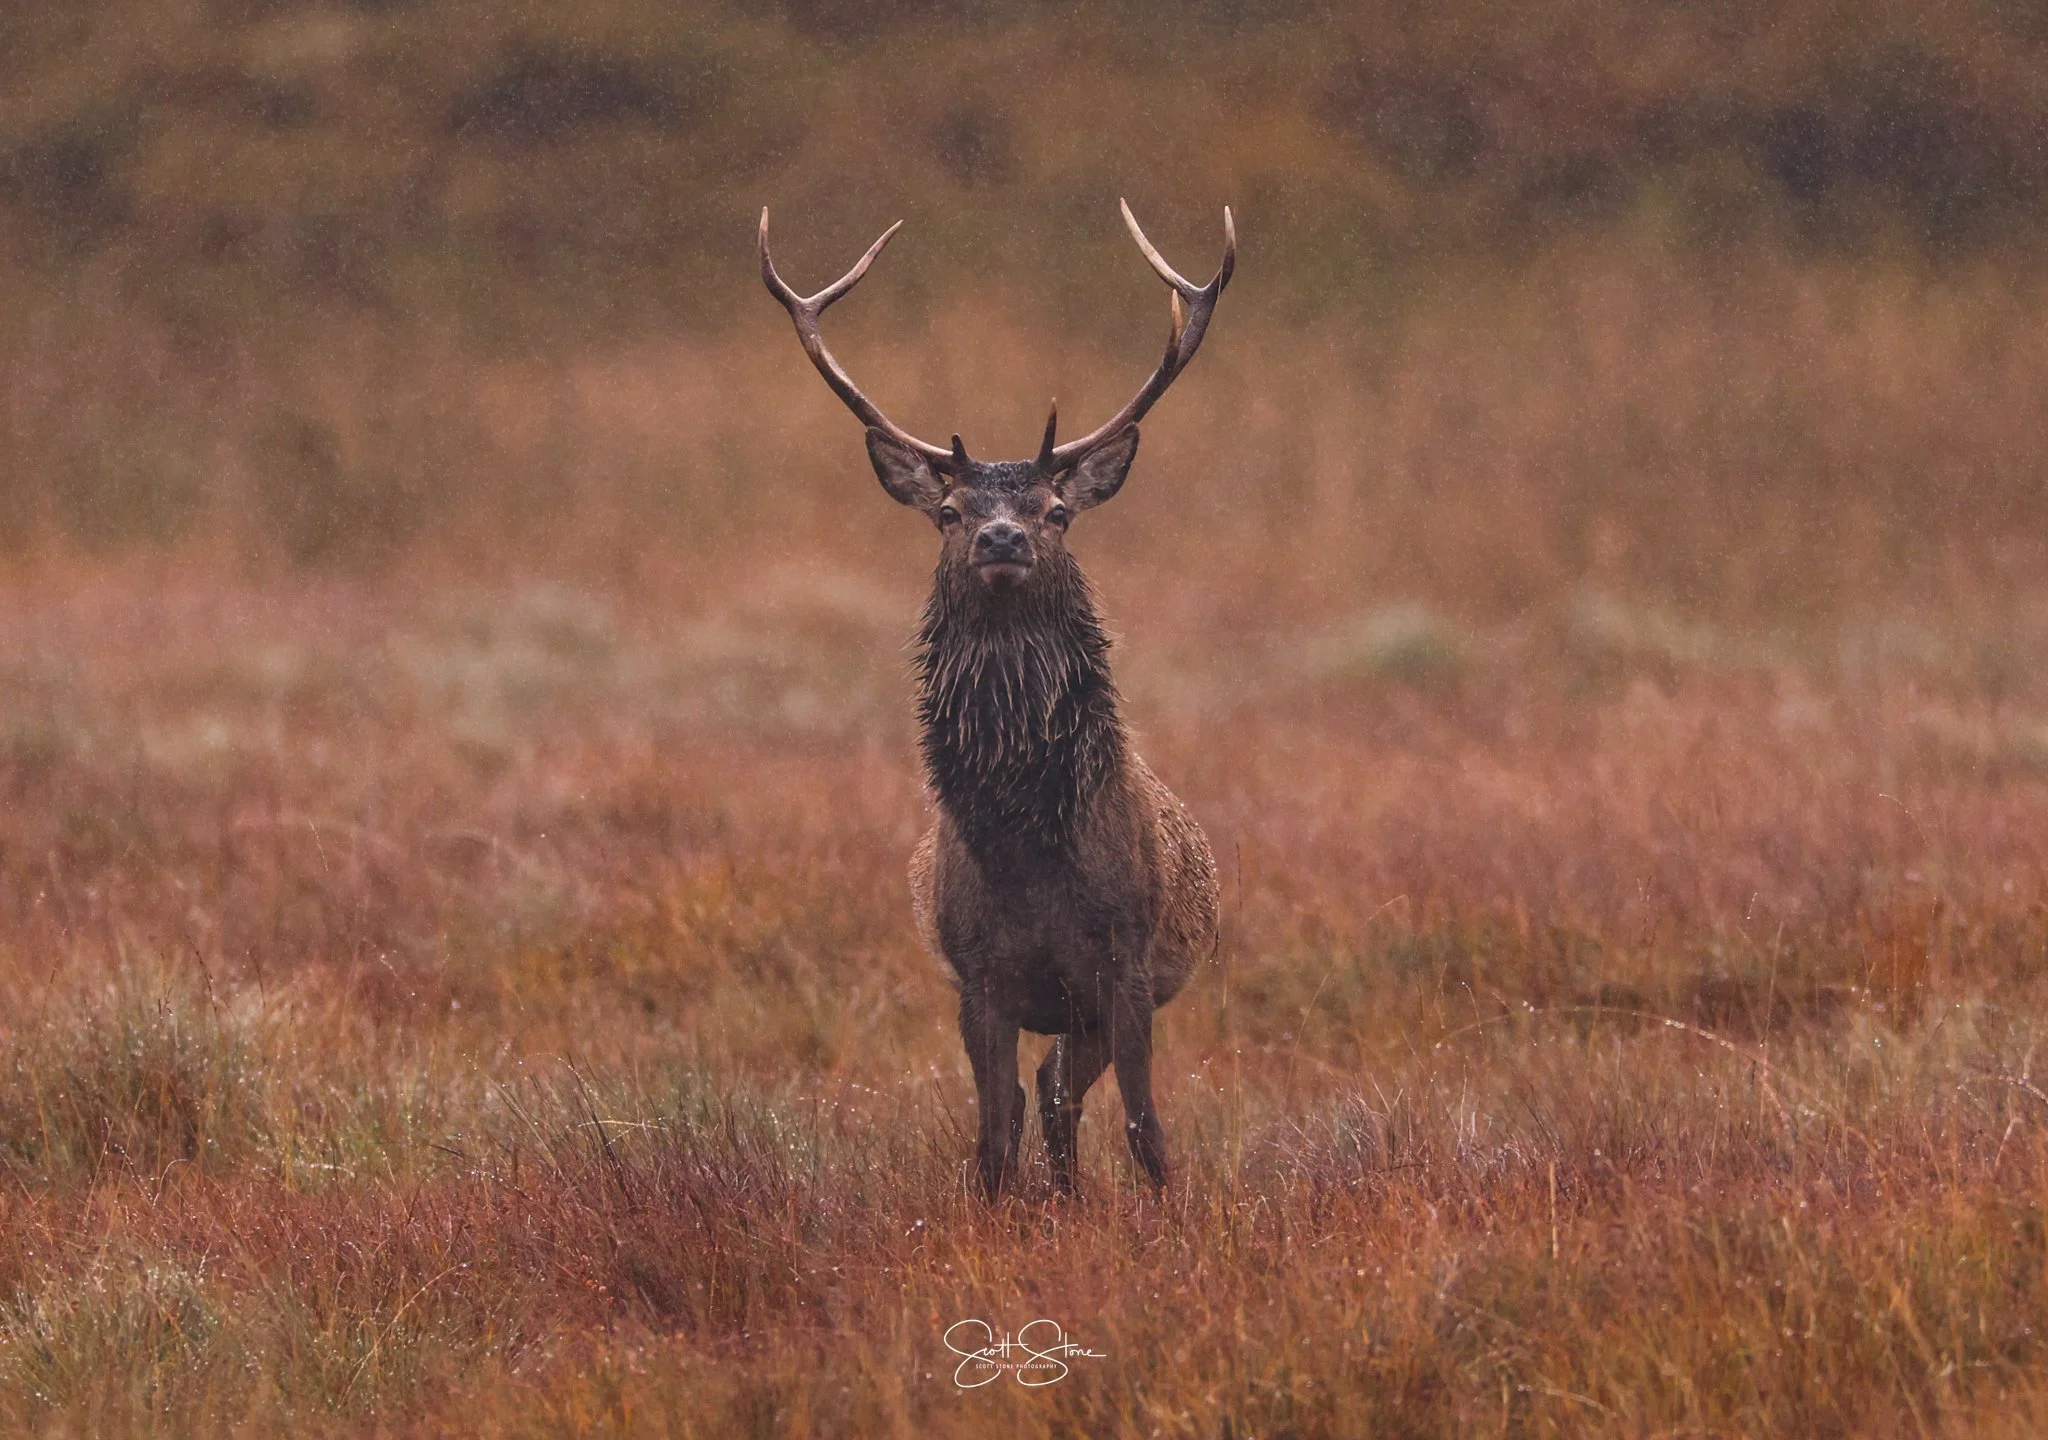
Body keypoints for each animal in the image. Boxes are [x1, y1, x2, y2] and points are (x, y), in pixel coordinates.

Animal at [759, 200, 1231, 1198]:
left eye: (1058, 509)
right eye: (949, 512)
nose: (1003, 535)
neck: (1030, 849)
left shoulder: (1127, 964)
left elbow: (1147, 1126)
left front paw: (1166, 1212)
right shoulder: (978, 976)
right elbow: (990, 1132)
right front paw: (1002, 1210)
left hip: (1097, 1004)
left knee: (1064, 1090)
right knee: (1041, 1091)